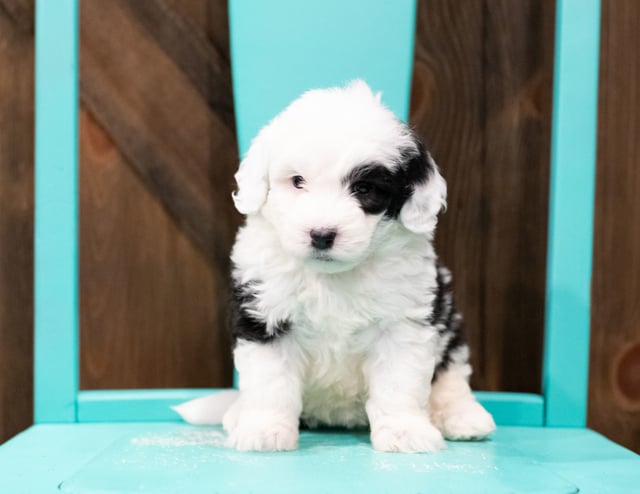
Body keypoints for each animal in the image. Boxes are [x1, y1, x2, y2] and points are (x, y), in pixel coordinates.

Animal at [175, 80, 496, 452]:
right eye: (297, 181)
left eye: (364, 188)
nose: (321, 235)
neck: (331, 276)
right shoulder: (265, 314)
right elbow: (271, 382)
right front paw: (265, 429)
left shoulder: (403, 322)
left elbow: (399, 384)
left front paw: (405, 431)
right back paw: (238, 413)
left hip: (449, 323)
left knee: (452, 375)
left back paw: (462, 416)